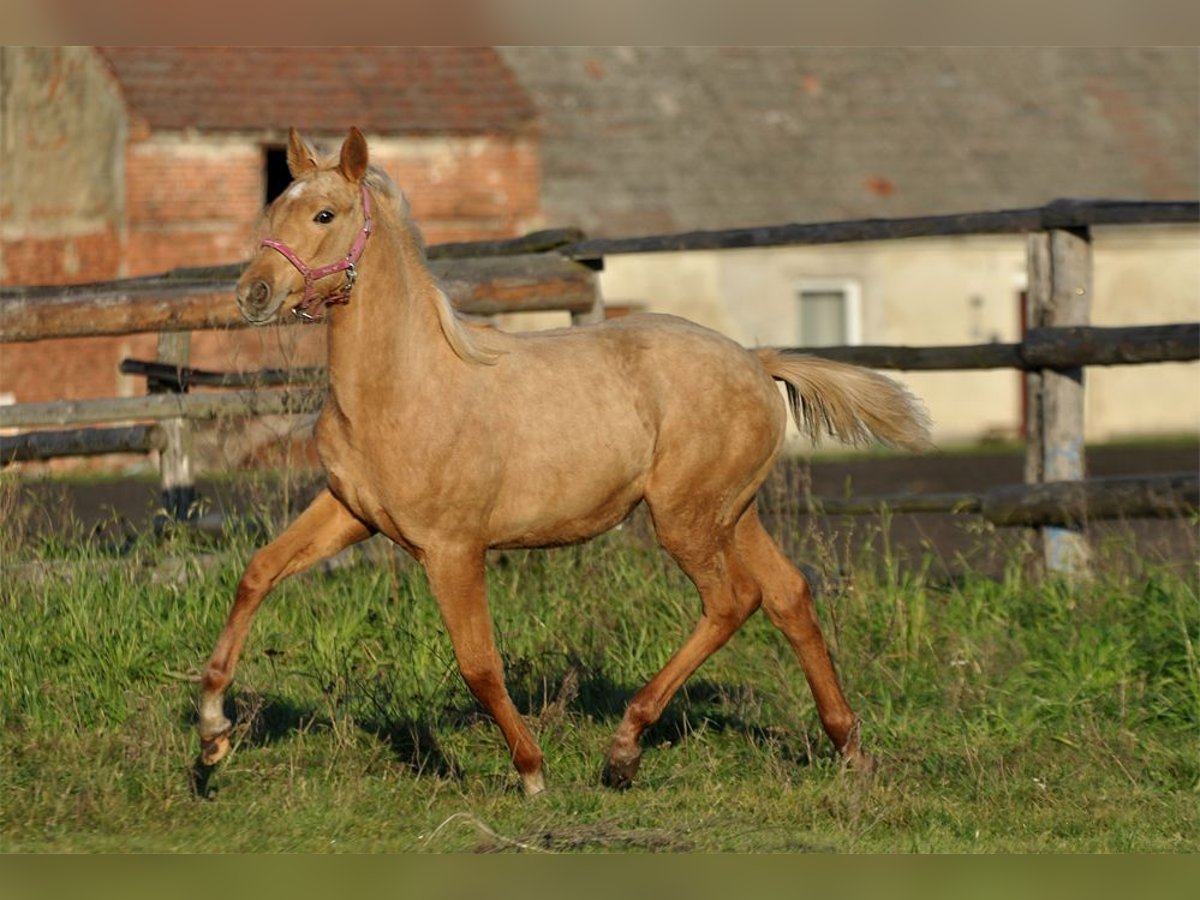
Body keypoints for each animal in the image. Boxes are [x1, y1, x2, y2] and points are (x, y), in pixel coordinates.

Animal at [196, 125, 931, 796]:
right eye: (273, 210)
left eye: (325, 215)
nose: (252, 294)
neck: (404, 384)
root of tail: (755, 361)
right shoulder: (350, 513)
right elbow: (257, 573)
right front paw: (211, 734)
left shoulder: (452, 546)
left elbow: (478, 662)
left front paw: (531, 771)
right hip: (731, 512)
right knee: (788, 596)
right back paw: (849, 747)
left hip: (686, 518)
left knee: (733, 601)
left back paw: (625, 750)